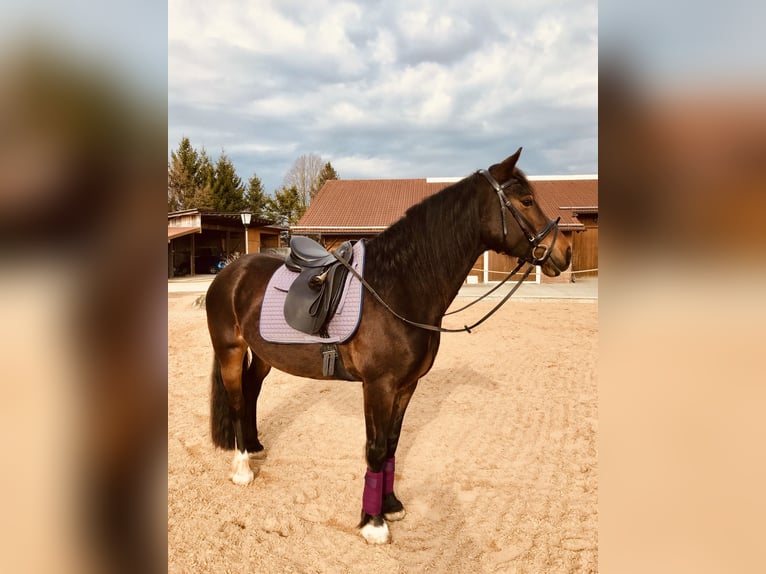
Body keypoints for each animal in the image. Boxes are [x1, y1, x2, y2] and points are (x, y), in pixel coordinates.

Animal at [205, 148, 572, 544]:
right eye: (526, 201)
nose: (565, 252)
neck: (399, 286)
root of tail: (230, 272)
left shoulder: (406, 386)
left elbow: (393, 444)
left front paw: (391, 504)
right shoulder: (378, 385)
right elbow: (376, 448)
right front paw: (373, 522)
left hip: (263, 355)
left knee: (252, 391)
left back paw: (255, 447)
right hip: (230, 351)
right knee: (238, 399)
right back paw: (242, 467)